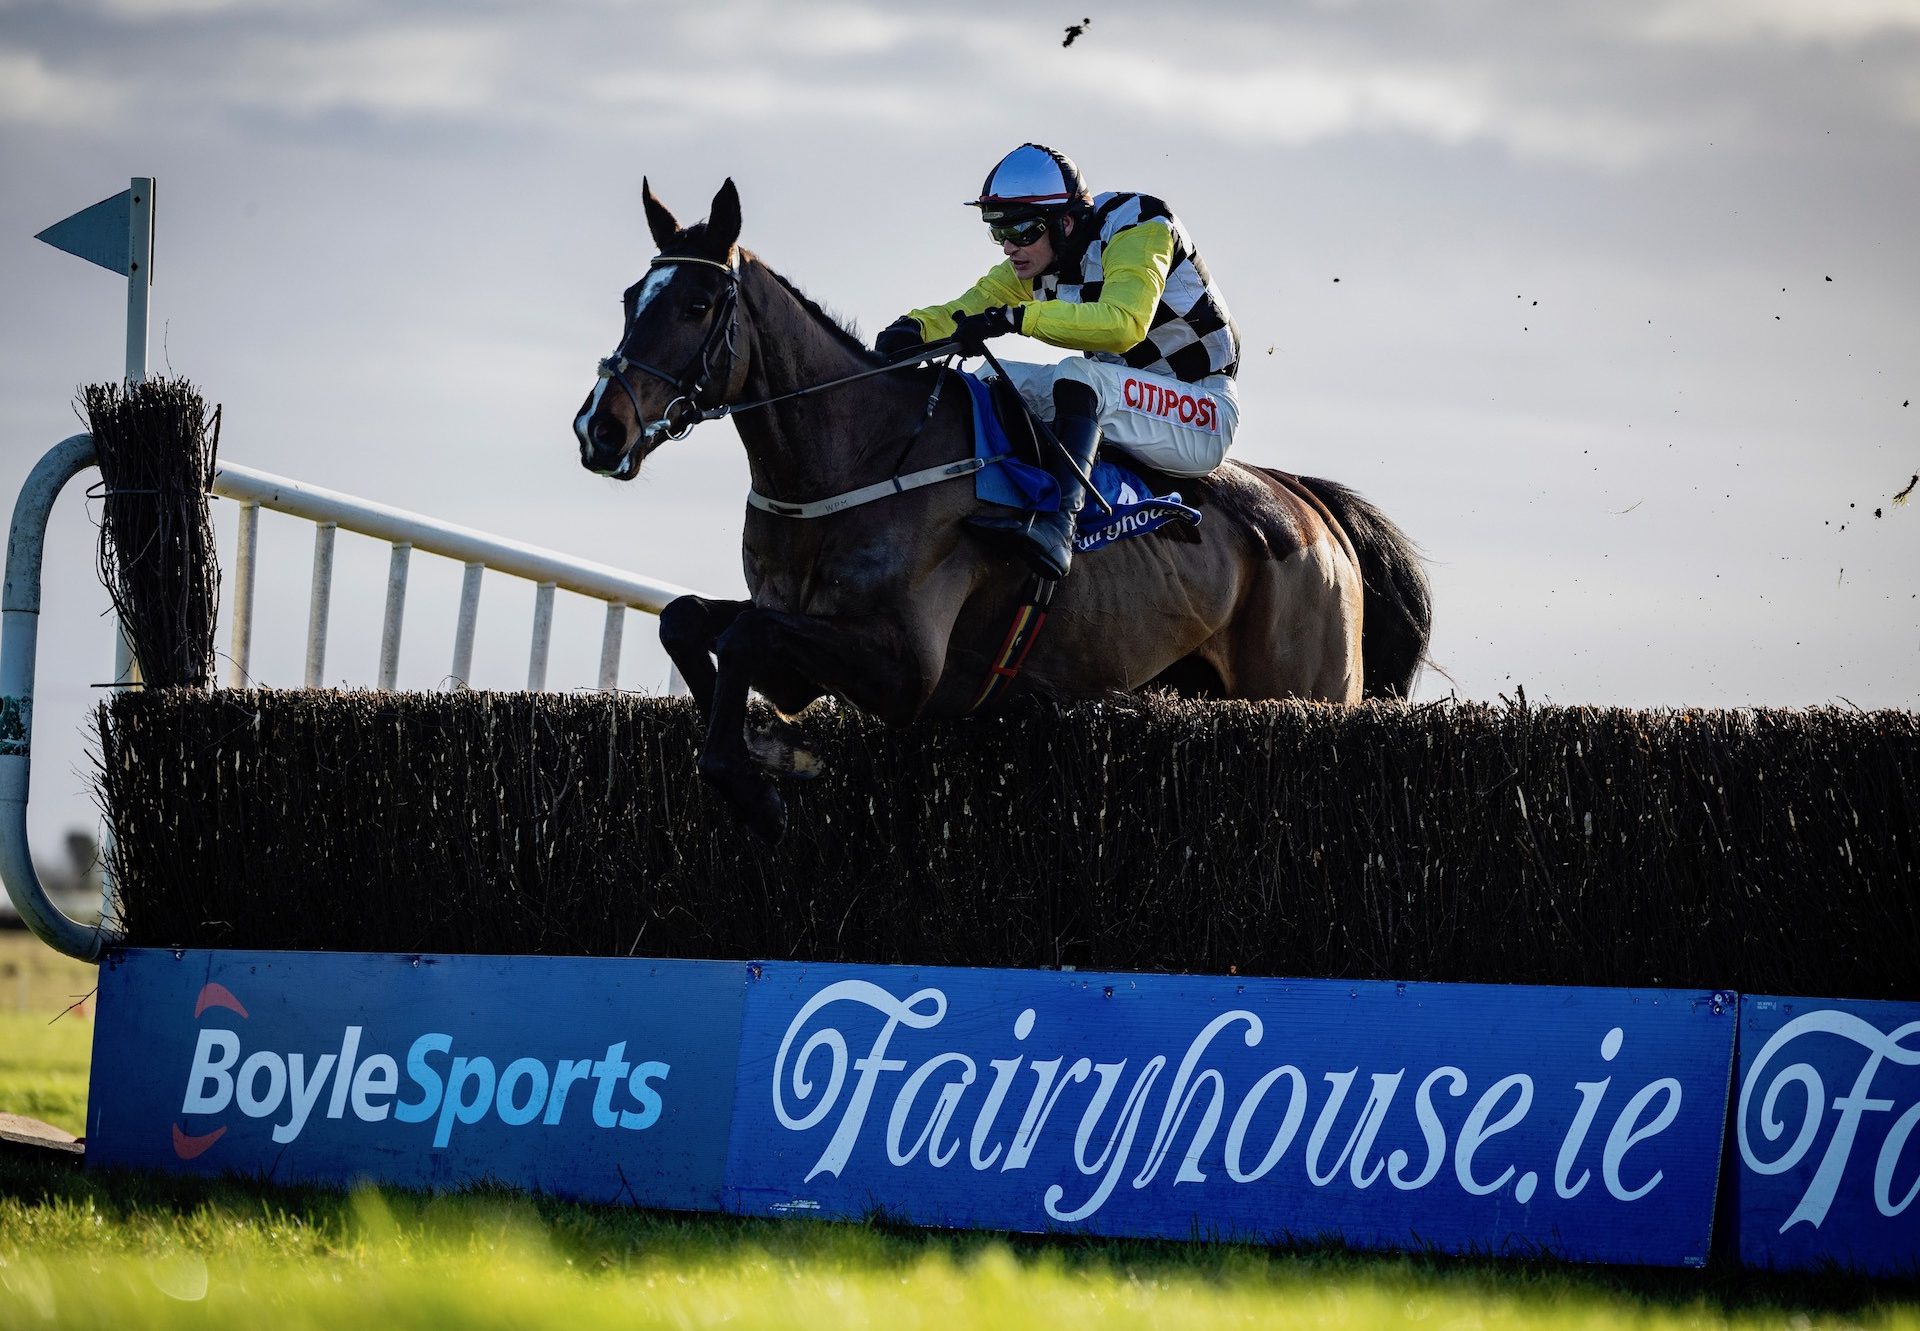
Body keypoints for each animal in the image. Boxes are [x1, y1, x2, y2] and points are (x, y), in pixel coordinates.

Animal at [576, 180, 1436, 837]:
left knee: (1083, 383)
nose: (599, 427)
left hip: (1305, 680)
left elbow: (744, 634)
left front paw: (761, 774)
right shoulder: (800, 635)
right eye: (627, 298)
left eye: (696, 303)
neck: (860, 456)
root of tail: (1311, 505)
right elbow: (687, 618)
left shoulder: (905, 669)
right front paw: (771, 745)